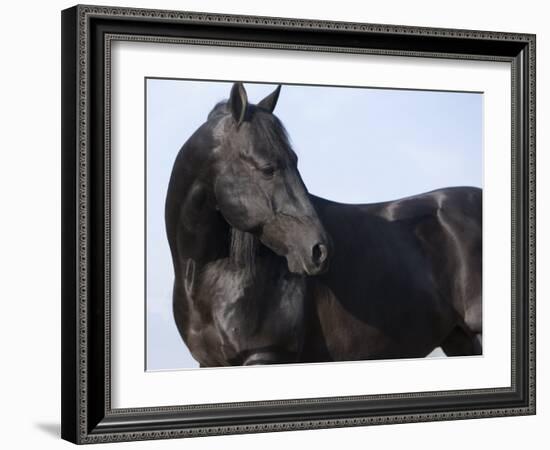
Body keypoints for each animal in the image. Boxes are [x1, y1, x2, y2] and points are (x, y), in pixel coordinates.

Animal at [165, 82, 484, 368]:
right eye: (268, 168)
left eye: (295, 161)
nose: (319, 250)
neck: (213, 275)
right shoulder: (210, 363)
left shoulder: (263, 355)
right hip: (460, 339)